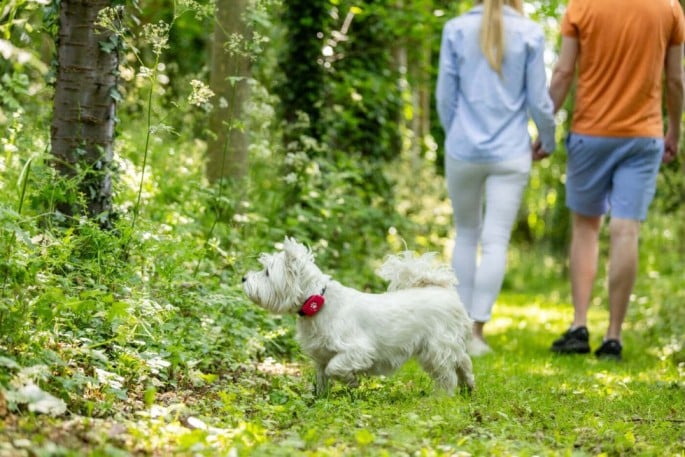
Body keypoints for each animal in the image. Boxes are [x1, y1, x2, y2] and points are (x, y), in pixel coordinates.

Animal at [242, 237, 476, 394]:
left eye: (267, 273)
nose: (243, 278)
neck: (318, 303)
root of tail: (444, 290)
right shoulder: (321, 355)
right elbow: (321, 378)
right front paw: (319, 398)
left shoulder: (358, 350)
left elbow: (334, 368)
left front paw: (352, 382)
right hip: (447, 346)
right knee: (463, 362)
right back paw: (469, 387)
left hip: (437, 348)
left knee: (447, 374)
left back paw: (441, 397)